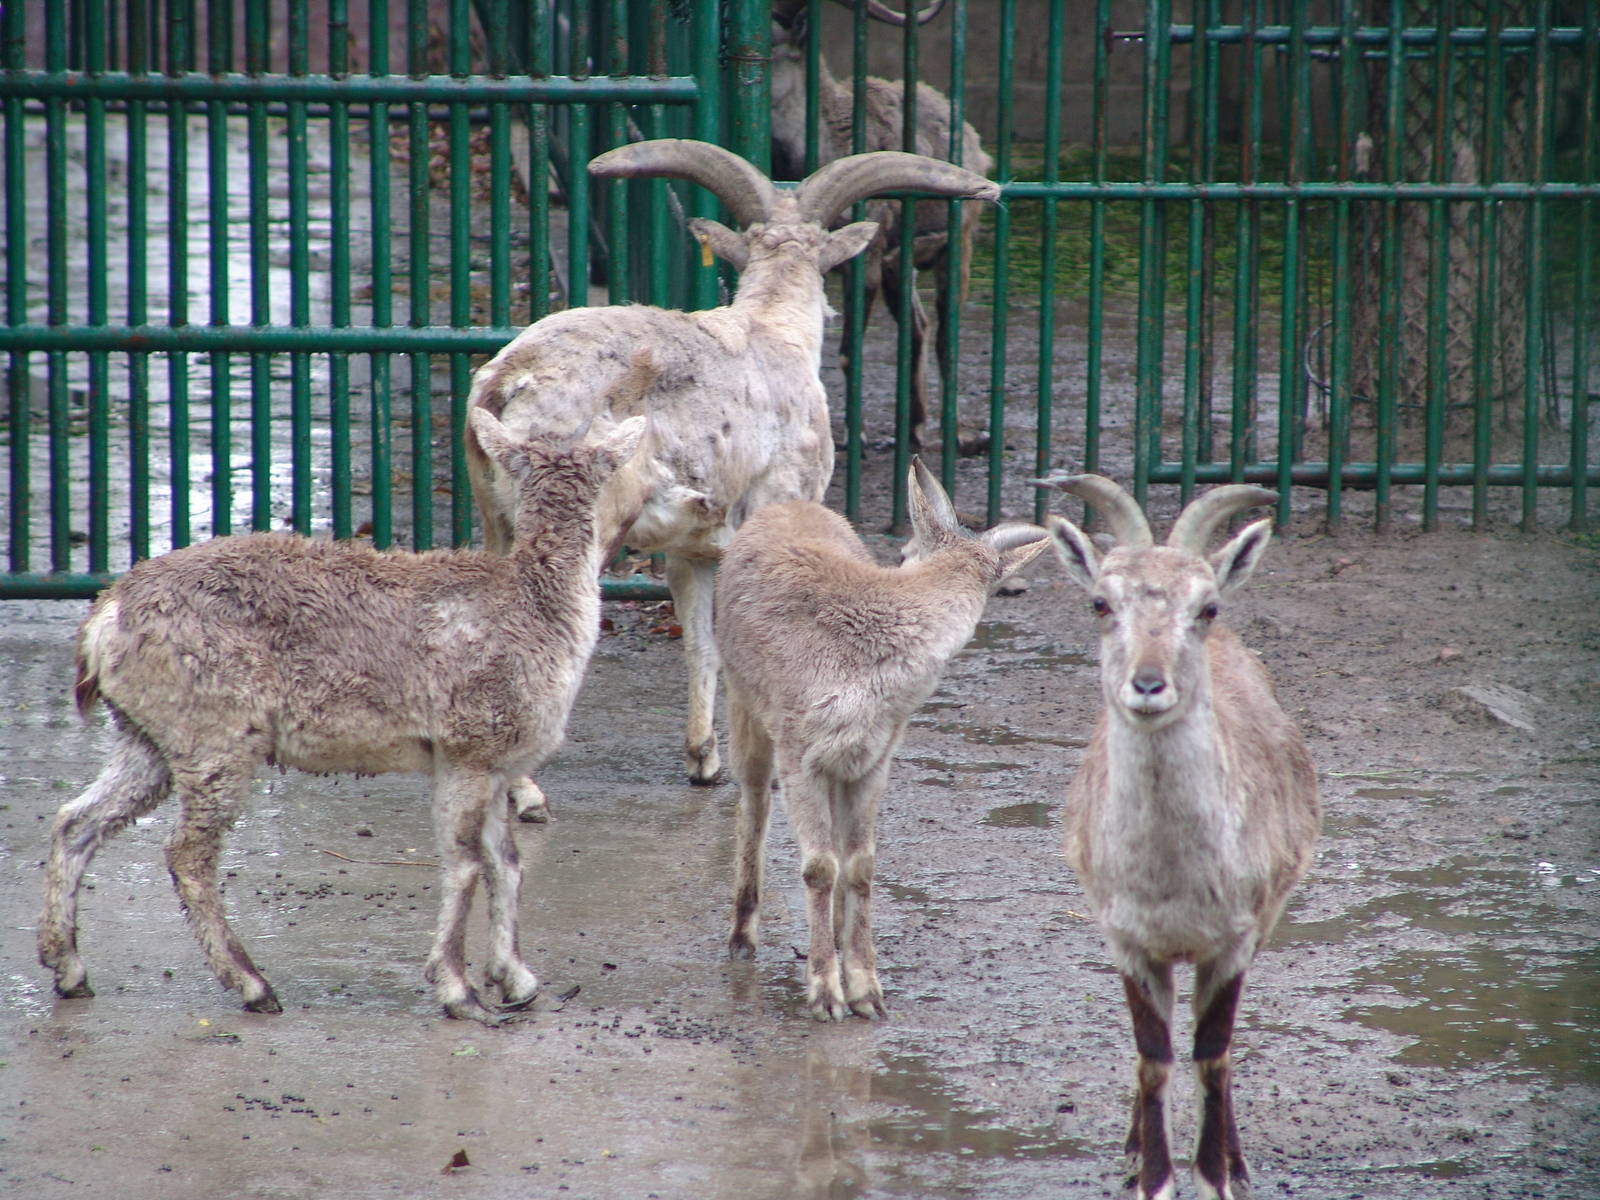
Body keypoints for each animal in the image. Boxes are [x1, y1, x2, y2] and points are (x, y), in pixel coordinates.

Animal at [37, 397, 658, 1026]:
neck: (540, 619)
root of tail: (102, 621)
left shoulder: (500, 762)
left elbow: (506, 863)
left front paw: (518, 980)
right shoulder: (467, 745)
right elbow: (463, 864)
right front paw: (458, 990)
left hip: (146, 732)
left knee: (76, 819)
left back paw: (70, 970)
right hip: (215, 732)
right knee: (186, 852)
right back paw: (253, 984)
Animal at [467, 137, 999, 818]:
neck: (778, 335)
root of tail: (509, 382)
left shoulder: (692, 550)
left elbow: (702, 641)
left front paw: (704, 762)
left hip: (496, 519)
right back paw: (528, 793)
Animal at [717, 459, 1050, 1020]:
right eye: (901, 551)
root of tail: (782, 506)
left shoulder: (874, 757)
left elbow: (860, 865)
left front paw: (867, 991)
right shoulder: (799, 749)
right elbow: (817, 866)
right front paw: (826, 994)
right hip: (743, 701)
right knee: (753, 800)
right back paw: (742, 937)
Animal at [770, 0, 994, 452]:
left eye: (774, 42)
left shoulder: (867, 254)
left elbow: (848, 350)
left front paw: (852, 434)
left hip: (958, 242)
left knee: (945, 336)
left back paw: (957, 433)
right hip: (901, 262)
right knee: (918, 327)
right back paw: (915, 426)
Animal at [1035, 473, 1321, 1200]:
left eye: (1207, 606)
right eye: (1100, 602)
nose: (1147, 684)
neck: (1175, 884)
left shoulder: (1236, 938)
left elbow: (1212, 1055)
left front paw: (1217, 1176)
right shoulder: (1130, 941)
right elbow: (1154, 1059)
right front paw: (1155, 1177)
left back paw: (1237, 1159)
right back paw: (1135, 1146)